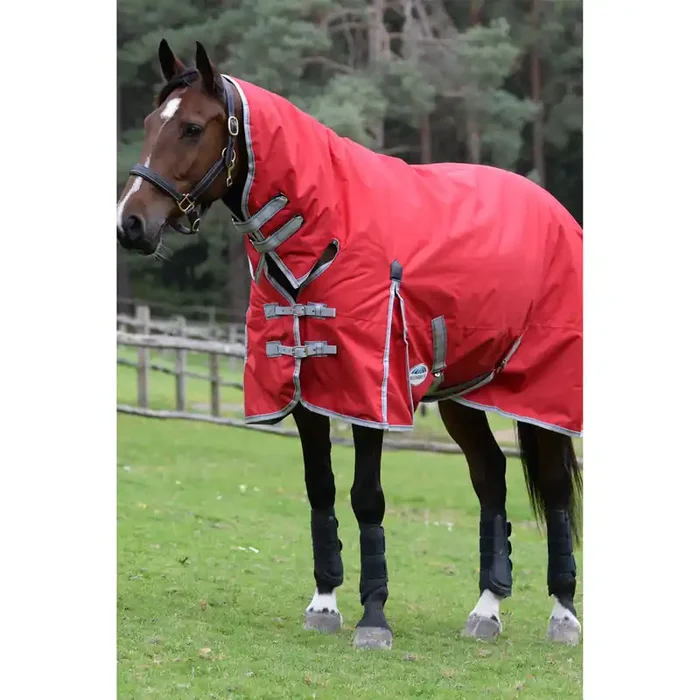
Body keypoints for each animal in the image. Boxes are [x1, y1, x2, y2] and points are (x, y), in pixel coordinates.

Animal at [116, 40, 583, 650]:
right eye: (152, 123)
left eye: (193, 128)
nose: (130, 224)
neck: (324, 226)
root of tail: (558, 213)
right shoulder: (306, 393)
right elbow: (320, 488)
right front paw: (324, 603)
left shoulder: (369, 393)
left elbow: (367, 497)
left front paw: (374, 618)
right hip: (462, 395)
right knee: (491, 479)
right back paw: (488, 608)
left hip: (542, 394)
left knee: (553, 488)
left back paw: (563, 614)